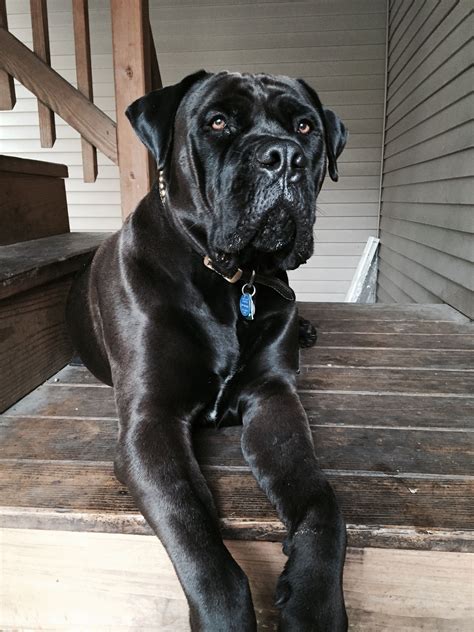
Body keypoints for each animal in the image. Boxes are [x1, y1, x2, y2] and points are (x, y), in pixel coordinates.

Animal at [66, 70, 348, 632]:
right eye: (217, 122)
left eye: (305, 127)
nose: (283, 156)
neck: (233, 279)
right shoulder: (150, 420)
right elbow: (193, 528)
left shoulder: (274, 399)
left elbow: (321, 501)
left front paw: (315, 603)